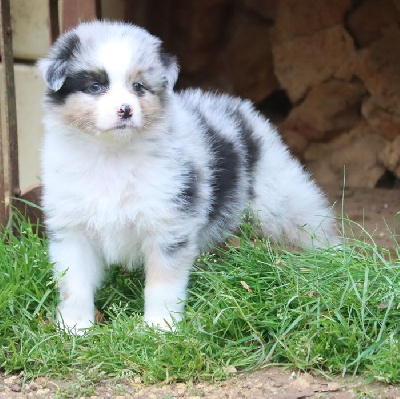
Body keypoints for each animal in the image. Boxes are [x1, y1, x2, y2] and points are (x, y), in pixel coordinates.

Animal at [38, 21, 338, 334]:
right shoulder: (72, 230)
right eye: (95, 86)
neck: (112, 155)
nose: (126, 110)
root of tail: (237, 107)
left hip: (279, 196)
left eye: (138, 86)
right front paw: (75, 327)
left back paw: (334, 259)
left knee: (311, 225)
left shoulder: (169, 224)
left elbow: (162, 283)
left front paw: (160, 327)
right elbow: (74, 283)